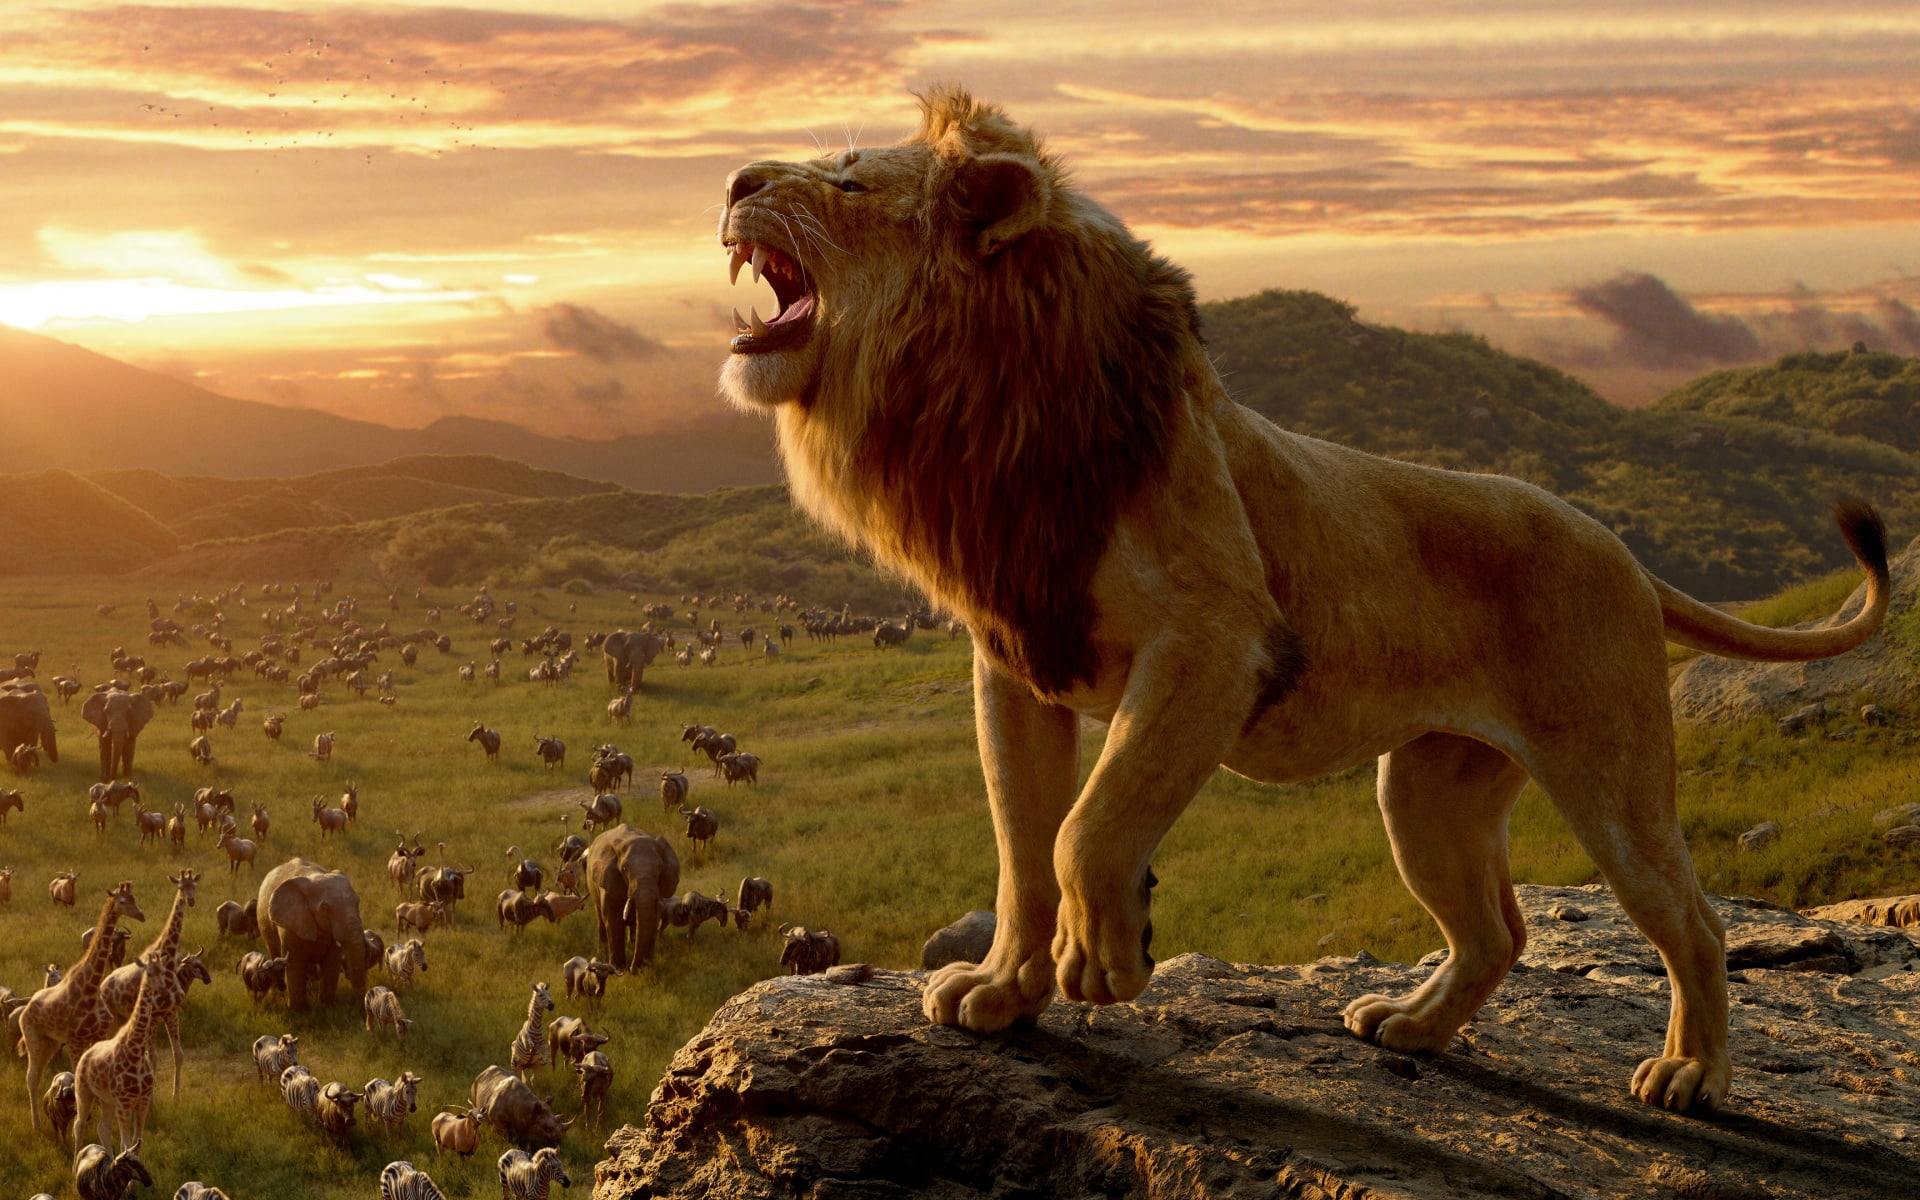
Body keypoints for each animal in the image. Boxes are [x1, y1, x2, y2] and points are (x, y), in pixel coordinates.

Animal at [257, 858, 371, 1010]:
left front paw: (327, 1007)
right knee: (273, 951)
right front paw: (298, 1011)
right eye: (325, 909)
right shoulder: (291, 924)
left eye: (358, 902)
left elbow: (331, 963)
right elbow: (295, 963)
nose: (361, 1010)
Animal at [586, 824, 680, 971]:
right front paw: (619, 968)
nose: (633, 969)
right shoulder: (609, 880)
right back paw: (602, 952)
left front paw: (646, 967)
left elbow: (653, 917)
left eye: (660, 869)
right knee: (600, 917)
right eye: (624, 869)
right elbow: (613, 919)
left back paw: (631, 944)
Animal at [715, 85, 1890, 1113]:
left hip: (1610, 775)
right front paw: (1003, 993)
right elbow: (1019, 848)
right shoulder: (1017, 660)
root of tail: (1624, 552)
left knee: (1691, 921)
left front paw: (1107, 961)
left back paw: (1691, 1074)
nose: (732, 179)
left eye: (850, 181)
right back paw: (1409, 1028)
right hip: (1428, 794)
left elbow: (1086, 828)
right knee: (1497, 931)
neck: (980, 413)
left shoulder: (1217, 641)